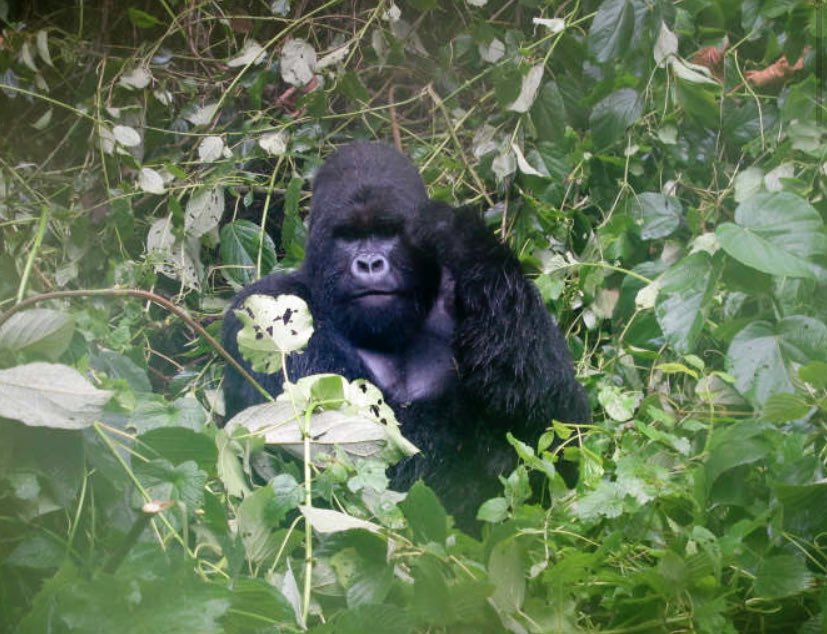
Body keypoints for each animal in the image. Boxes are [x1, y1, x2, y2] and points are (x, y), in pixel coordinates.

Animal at [223, 143, 592, 524]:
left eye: (388, 232)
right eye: (348, 237)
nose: (370, 263)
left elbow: (558, 417)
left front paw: (462, 238)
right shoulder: (266, 306)